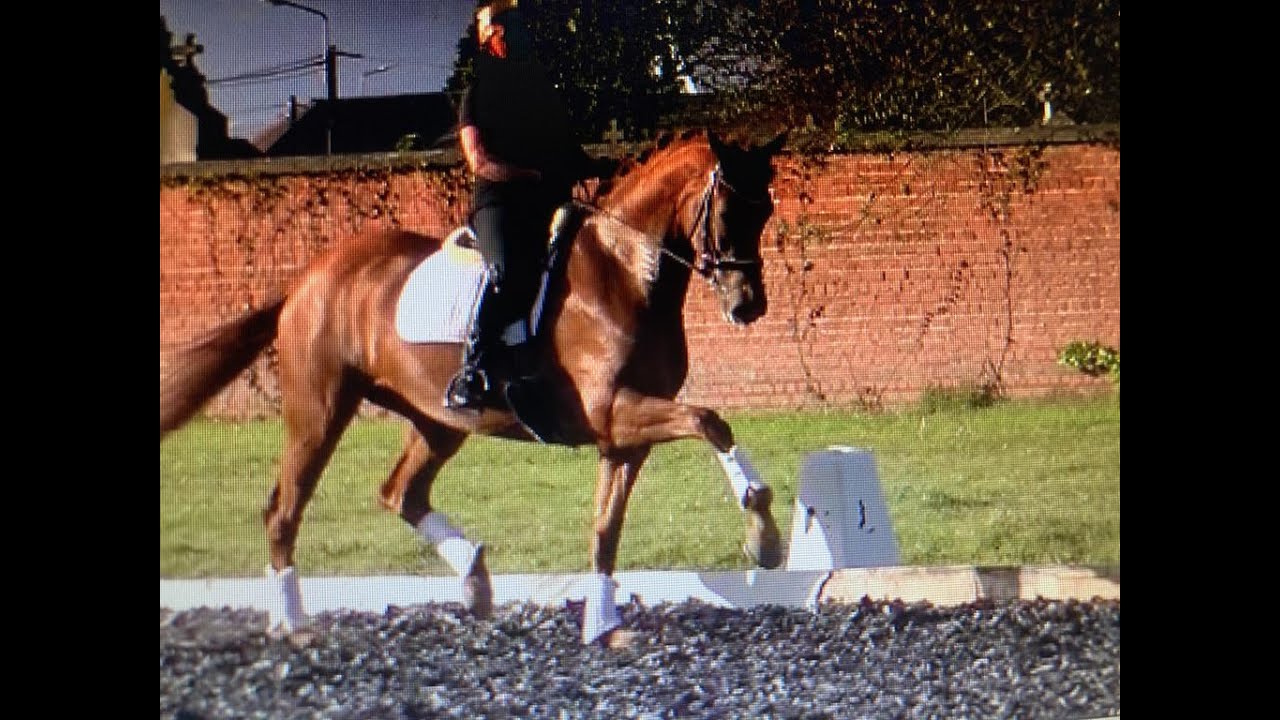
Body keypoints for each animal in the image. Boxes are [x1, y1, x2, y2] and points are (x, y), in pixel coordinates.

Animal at [160, 129, 789, 647]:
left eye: (766, 210)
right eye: (728, 210)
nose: (747, 306)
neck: (625, 271)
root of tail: (307, 280)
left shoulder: (623, 437)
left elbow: (605, 530)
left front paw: (604, 627)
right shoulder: (615, 411)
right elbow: (710, 420)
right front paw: (764, 535)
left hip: (439, 420)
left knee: (400, 493)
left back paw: (475, 581)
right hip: (320, 411)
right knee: (284, 510)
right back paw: (292, 623)